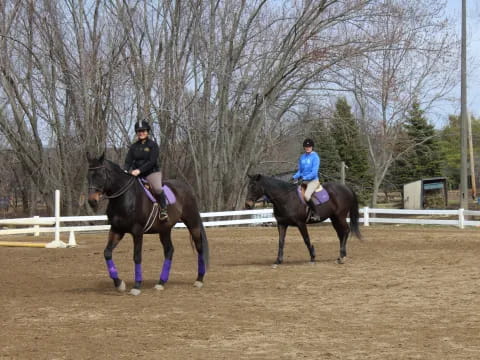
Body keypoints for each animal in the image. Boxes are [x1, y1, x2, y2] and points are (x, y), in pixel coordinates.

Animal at [86, 153, 208, 296]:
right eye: (88, 176)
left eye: (100, 175)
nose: (92, 201)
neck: (125, 197)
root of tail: (187, 187)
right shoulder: (116, 230)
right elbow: (107, 253)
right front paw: (119, 284)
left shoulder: (137, 232)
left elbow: (137, 257)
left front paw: (136, 286)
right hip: (164, 230)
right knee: (169, 250)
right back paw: (161, 282)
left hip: (192, 223)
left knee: (199, 247)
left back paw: (199, 280)